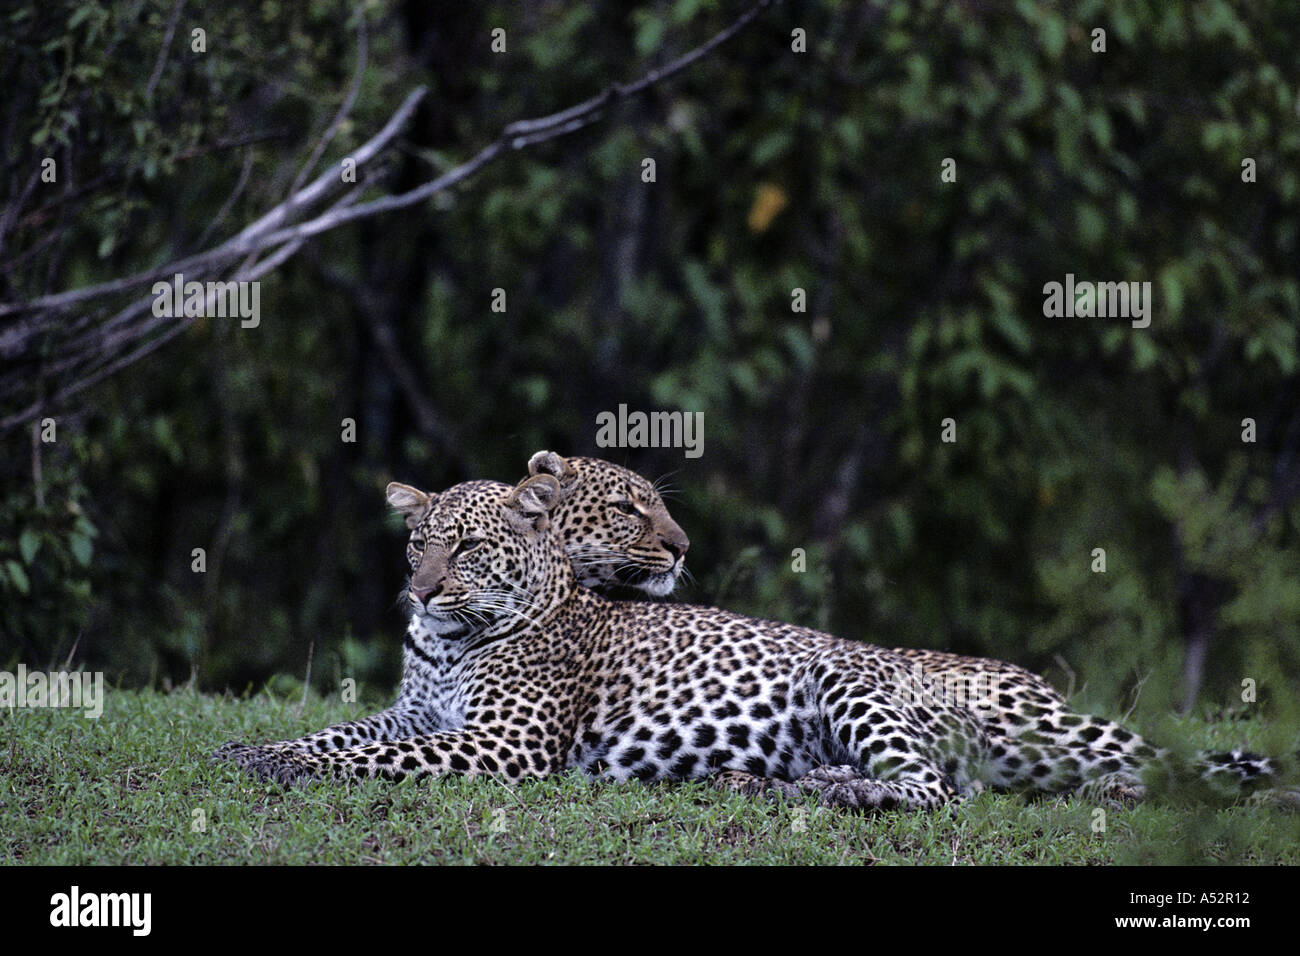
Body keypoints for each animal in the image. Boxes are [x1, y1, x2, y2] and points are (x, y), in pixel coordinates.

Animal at [213, 470, 1289, 806]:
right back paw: (774, 781)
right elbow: (339, 735)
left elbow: (371, 762)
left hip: (851, 685)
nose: (419, 589)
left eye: (468, 548)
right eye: (417, 542)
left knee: (939, 789)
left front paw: (288, 767)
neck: (448, 644)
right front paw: (251, 750)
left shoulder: (501, 744)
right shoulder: (410, 713)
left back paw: (837, 790)